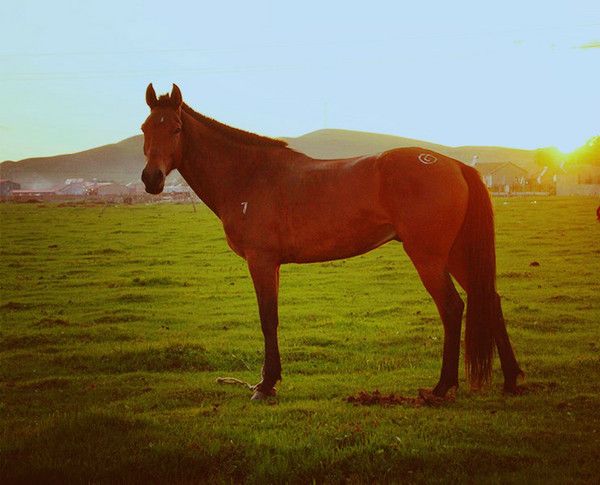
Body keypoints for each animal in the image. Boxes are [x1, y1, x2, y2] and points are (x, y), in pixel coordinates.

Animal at [139, 84, 520, 400]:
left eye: (176, 128)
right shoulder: (272, 265)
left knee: (452, 308)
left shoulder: (261, 261)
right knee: (489, 298)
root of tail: (454, 165)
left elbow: (267, 319)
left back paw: (442, 387)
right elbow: (271, 318)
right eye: (145, 128)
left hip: (428, 257)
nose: (151, 179)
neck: (249, 174)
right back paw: (512, 379)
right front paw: (270, 380)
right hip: (454, 254)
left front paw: (265, 385)